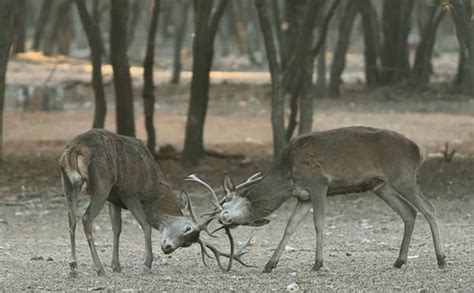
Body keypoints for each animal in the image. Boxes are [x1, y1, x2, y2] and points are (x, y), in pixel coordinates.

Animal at [58, 129, 244, 274]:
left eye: (187, 244)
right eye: (187, 228)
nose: (168, 248)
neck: (151, 190)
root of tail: (75, 149)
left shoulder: (114, 198)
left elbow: (117, 229)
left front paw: (116, 266)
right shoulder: (128, 192)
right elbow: (145, 224)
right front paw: (147, 263)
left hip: (68, 183)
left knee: (71, 220)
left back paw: (73, 267)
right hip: (102, 184)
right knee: (86, 219)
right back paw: (99, 268)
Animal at [202, 126, 446, 272]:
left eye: (225, 202)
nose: (223, 218)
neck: (287, 176)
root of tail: (419, 151)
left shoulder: (319, 184)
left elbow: (319, 224)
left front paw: (318, 263)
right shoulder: (304, 197)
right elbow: (290, 226)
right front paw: (270, 264)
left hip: (403, 176)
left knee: (429, 208)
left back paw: (441, 259)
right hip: (381, 186)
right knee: (409, 212)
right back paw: (399, 260)